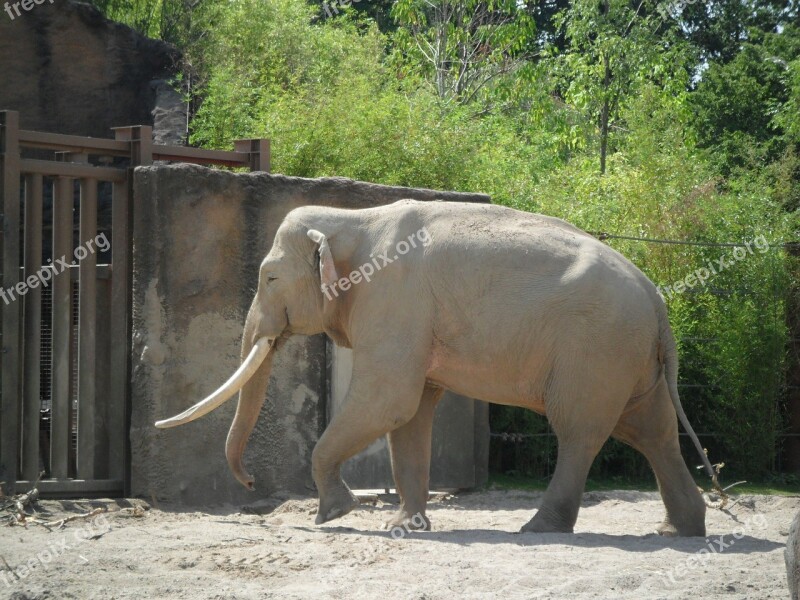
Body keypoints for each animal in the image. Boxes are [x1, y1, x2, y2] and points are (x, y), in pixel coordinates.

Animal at [153, 199, 716, 536]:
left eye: (269, 278)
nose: (250, 485)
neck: (351, 217)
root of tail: (658, 301)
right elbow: (412, 412)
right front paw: (404, 526)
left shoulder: (395, 299)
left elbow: (388, 399)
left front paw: (333, 514)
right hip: (628, 358)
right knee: (653, 431)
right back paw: (679, 530)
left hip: (595, 351)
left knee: (582, 432)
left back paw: (539, 529)